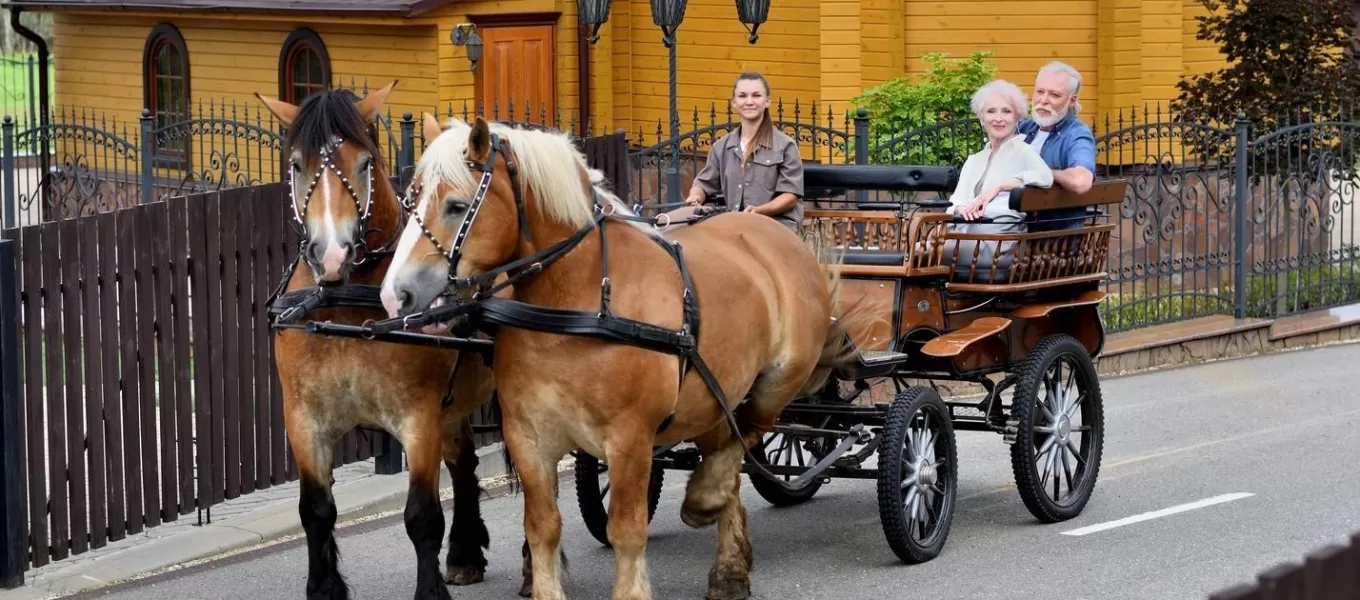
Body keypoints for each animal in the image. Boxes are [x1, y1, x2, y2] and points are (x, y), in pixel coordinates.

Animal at [254, 84, 519, 600]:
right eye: (296, 165)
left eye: (364, 163)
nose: (331, 254)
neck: (342, 304)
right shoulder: (304, 420)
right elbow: (315, 511)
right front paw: (324, 588)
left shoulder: (418, 418)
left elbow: (422, 517)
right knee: (464, 464)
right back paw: (465, 553)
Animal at [378, 114, 877, 600]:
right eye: (410, 199)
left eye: (456, 205)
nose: (394, 294)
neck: (579, 302)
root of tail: (774, 234)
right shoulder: (528, 437)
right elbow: (543, 528)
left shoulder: (630, 439)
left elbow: (626, 530)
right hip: (717, 391)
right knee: (728, 453)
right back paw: (728, 565)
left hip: (778, 380)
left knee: (746, 436)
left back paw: (705, 499)